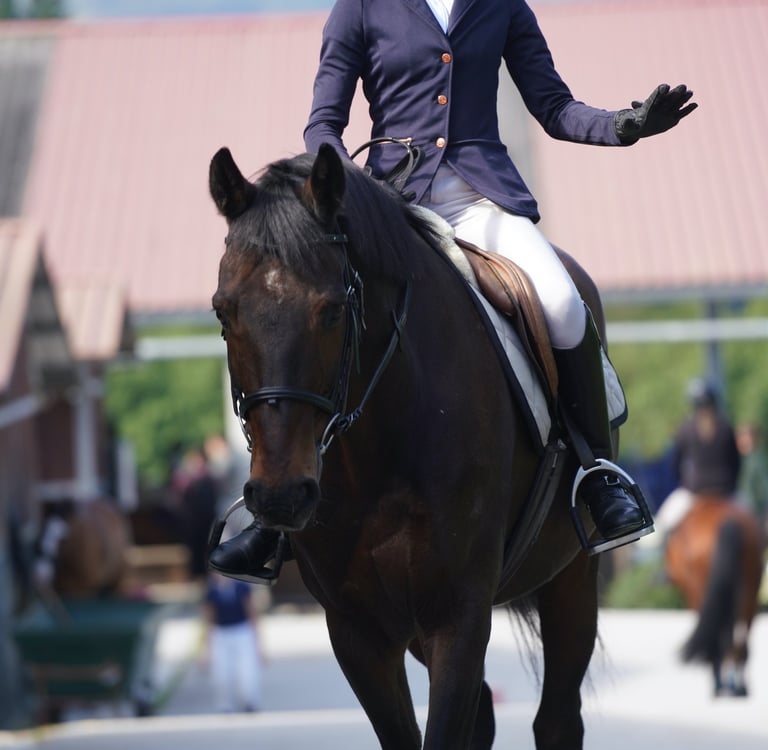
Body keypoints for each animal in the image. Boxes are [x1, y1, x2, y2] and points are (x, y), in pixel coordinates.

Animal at [665, 494, 764, 696]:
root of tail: (727, 521)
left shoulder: (694, 596)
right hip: (749, 592)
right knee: (740, 640)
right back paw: (739, 686)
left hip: (705, 592)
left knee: (722, 641)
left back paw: (721, 684)